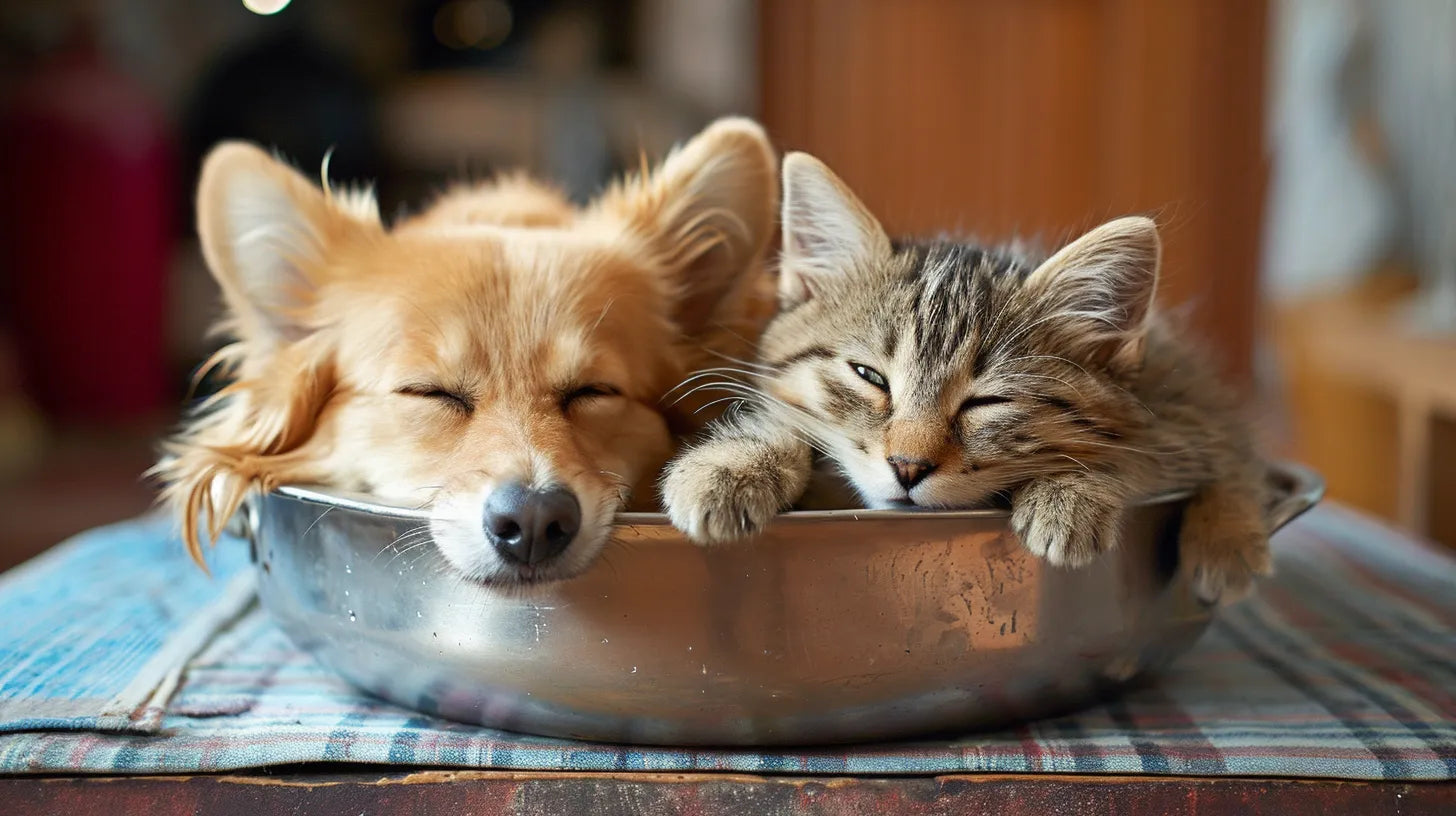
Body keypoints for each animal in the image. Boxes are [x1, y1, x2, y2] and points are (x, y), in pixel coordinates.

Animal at [666, 153, 1269, 603]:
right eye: (869, 376)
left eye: (987, 402)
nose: (907, 466)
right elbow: (781, 414)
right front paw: (731, 466)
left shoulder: (1168, 415)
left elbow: (1145, 451)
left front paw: (1071, 493)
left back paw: (1228, 541)